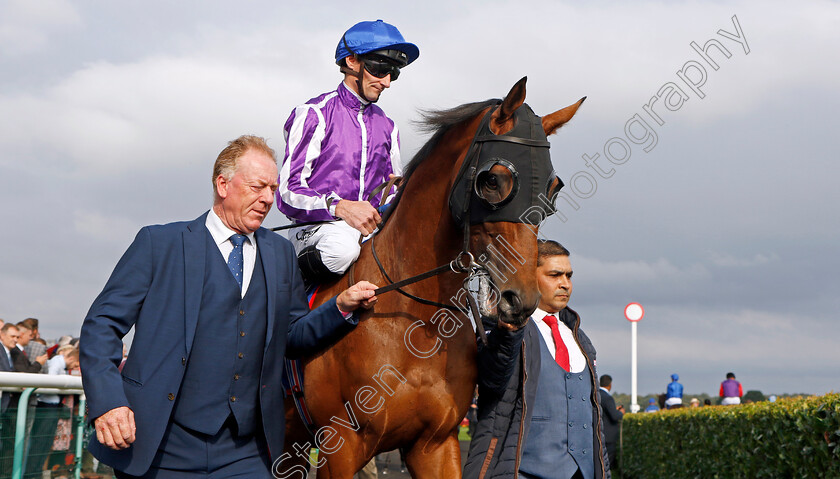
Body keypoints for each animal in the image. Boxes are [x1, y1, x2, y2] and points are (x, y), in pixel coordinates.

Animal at [276, 77, 584, 478]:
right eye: (492, 180)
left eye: (553, 187)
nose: (519, 300)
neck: (417, 321)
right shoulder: (338, 444)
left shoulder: (436, 443)